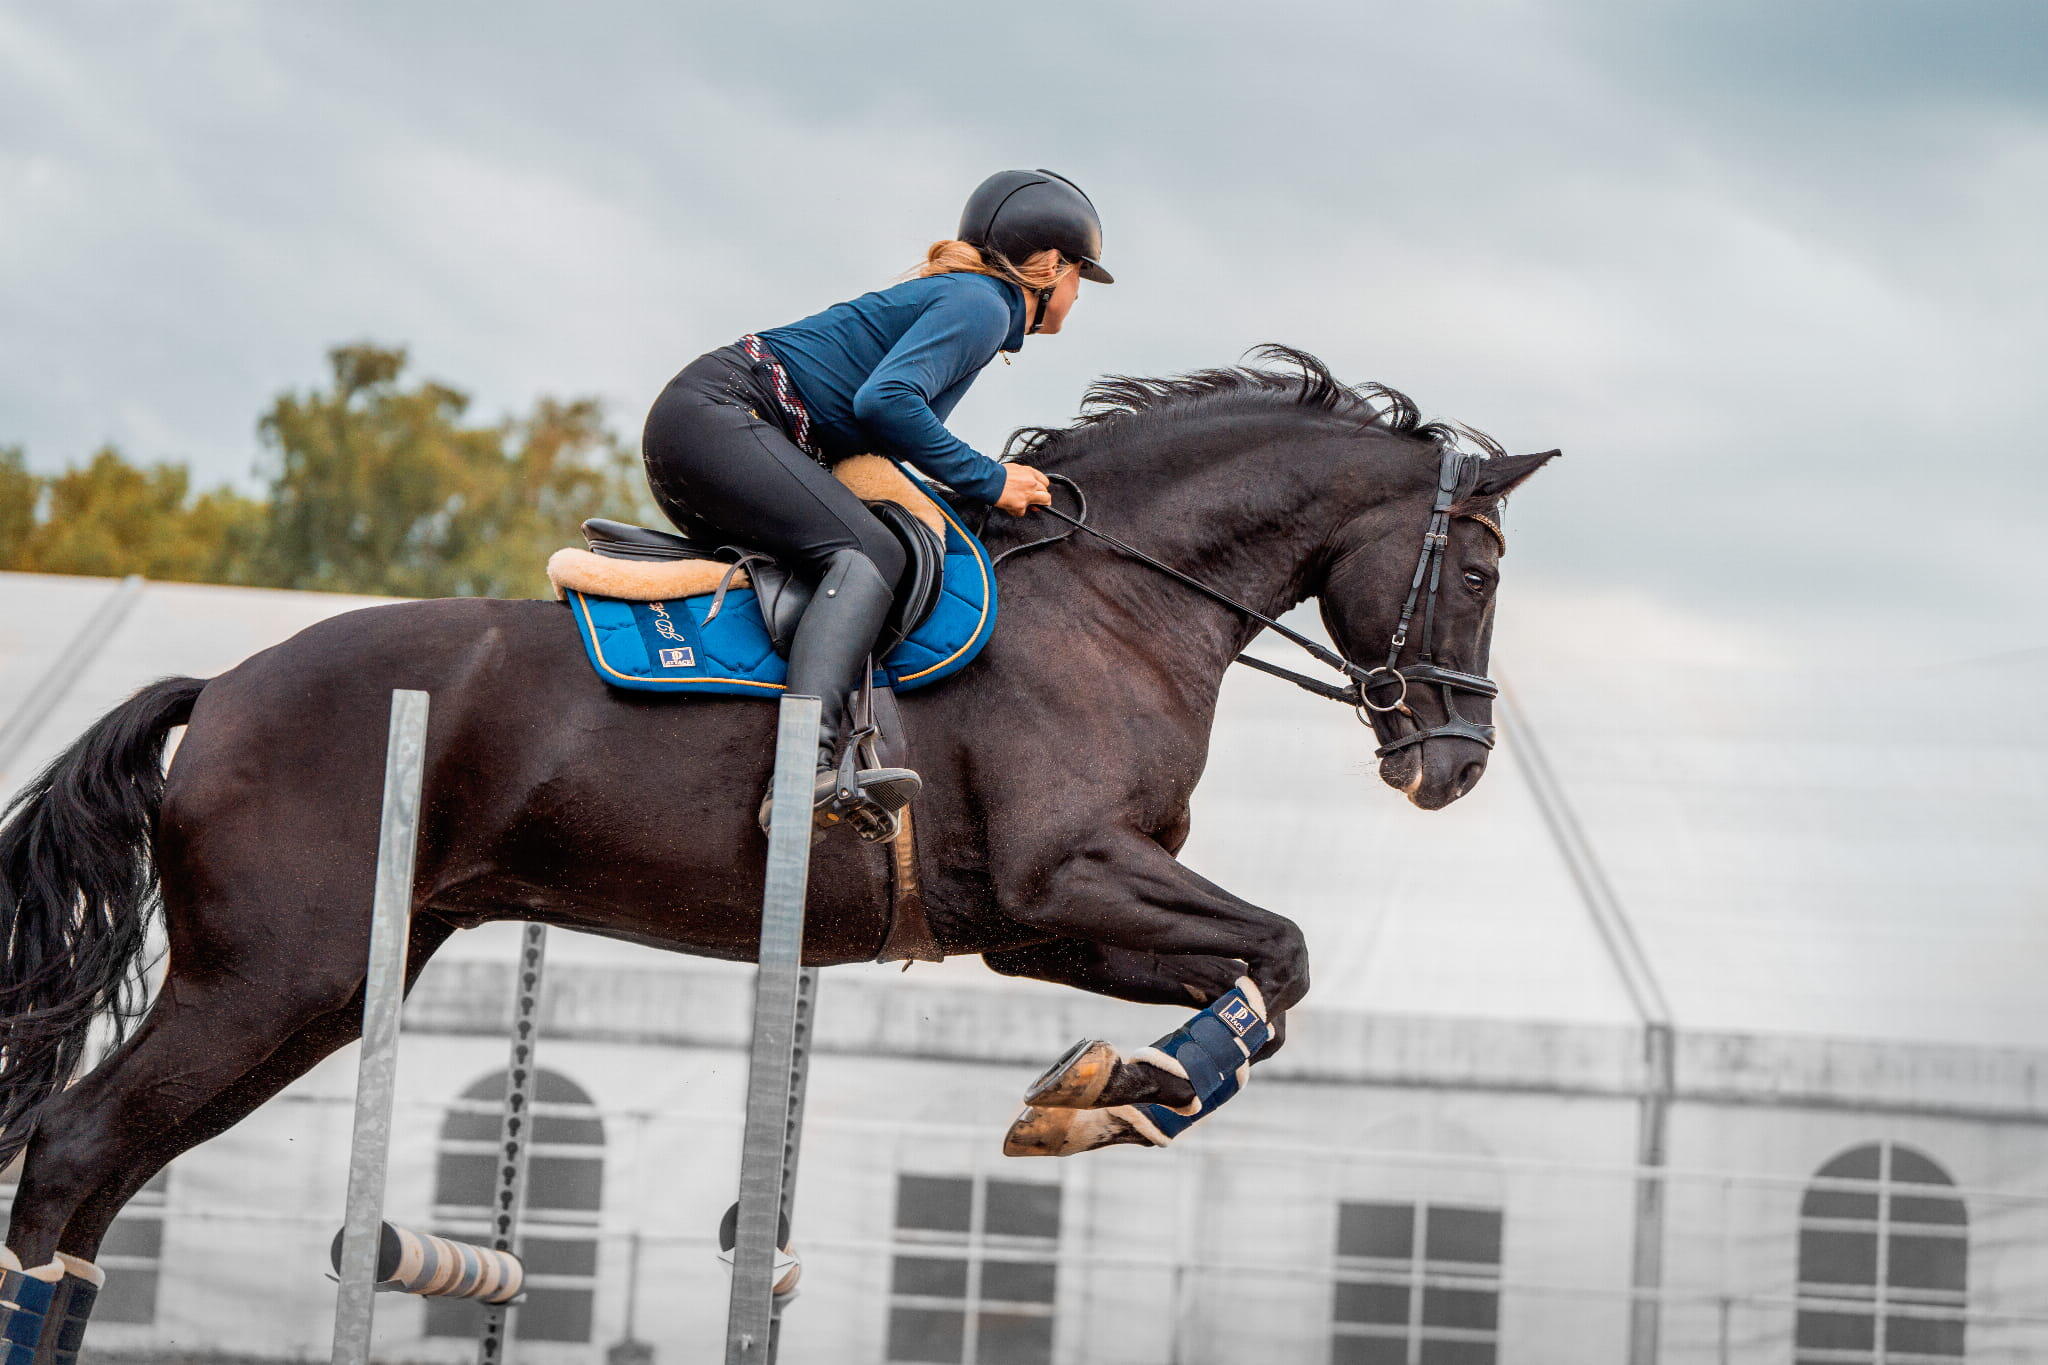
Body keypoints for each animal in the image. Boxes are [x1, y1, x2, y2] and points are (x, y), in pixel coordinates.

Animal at [0, 346, 1554, 1294]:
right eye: (1477, 572)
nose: (1453, 766)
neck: (1120, 597)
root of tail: (221, 689)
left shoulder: (1036, 924)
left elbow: (1258, 973)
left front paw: (1111, 1089)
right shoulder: (1066, 878)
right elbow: (1279, 951)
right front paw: (1117, 1092)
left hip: (317, 991)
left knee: (102, 1177)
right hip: (269, 978)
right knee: (73, 1150)